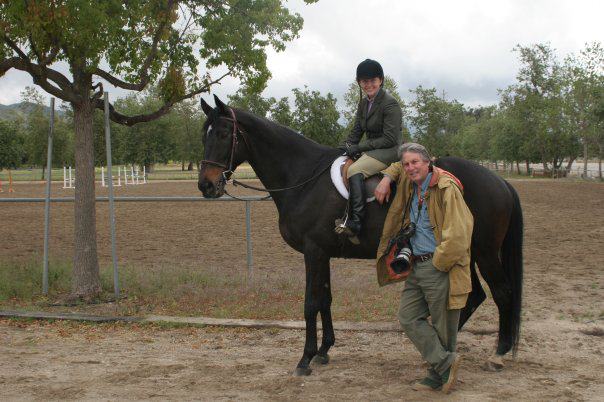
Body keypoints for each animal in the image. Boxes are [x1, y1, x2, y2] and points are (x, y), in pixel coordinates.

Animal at [196, 96, 520, 376]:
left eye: (224, 134)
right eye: (204, 135)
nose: (206, 186)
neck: (303, 177)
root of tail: (500, 180)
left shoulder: (313, 251)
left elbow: (310, 303)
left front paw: (305, 359)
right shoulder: (322, 253)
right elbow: (325, 298)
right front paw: (324, 351)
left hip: (484, 253)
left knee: (502, 293)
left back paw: (498, 355)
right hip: (463, 252)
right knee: (475, 295)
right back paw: (442, 347)